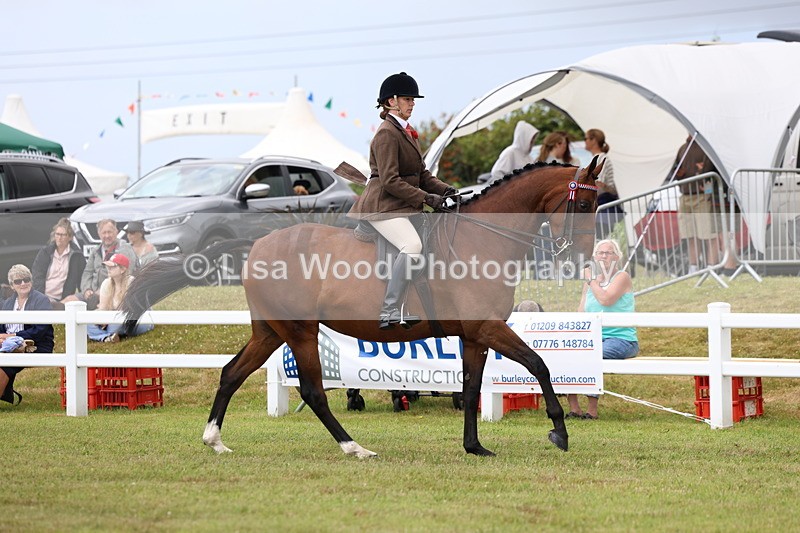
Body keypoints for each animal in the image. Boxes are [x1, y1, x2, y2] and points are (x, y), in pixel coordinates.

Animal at [122, 159, 601, 458]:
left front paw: (475, 447)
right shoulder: (487, 328)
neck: (482, 238)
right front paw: (559, 432)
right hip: (299, 331)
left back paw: (214, 440)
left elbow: (469, 391)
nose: (582, 258)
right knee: (313, 391)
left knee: (231, 373)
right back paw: (355, 447)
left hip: (271, 331)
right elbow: (539, 364)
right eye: (582, 203)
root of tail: (256, 244)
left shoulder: (474, 335)